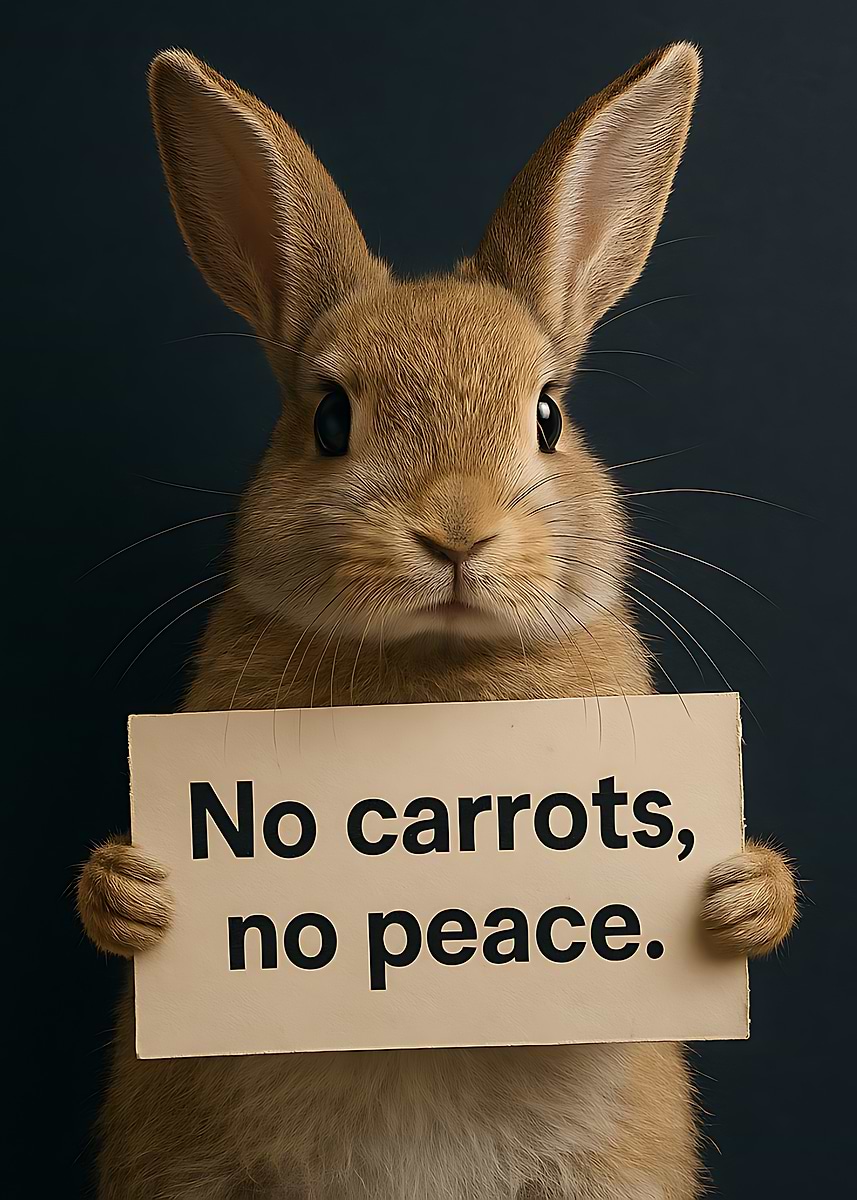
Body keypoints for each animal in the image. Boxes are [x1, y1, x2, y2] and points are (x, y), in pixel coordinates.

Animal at [77, 43, 798, 1200]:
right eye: (330, 419)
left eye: (548, 413)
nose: (456, 532)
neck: (437, 670)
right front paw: (132, 893)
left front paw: (742, 896)